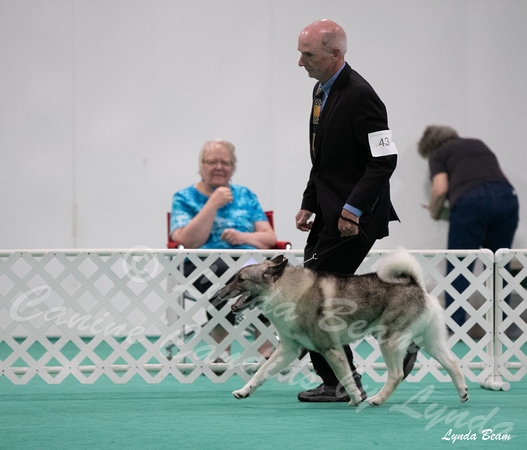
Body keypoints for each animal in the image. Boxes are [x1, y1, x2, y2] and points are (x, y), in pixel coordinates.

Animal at [214, 251, 470, 406]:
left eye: (241, 279)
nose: (218, 293)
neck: (288, 291)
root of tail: (415, 284)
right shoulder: (287, 350)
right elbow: (261, 372)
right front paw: (244, 391)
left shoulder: (331, 350)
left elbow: (344, 377)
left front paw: (356, 398)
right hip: (430, 342)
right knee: (452, 363)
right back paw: (463, 393)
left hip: (389, 342)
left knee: (397, 374)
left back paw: (377, 399)